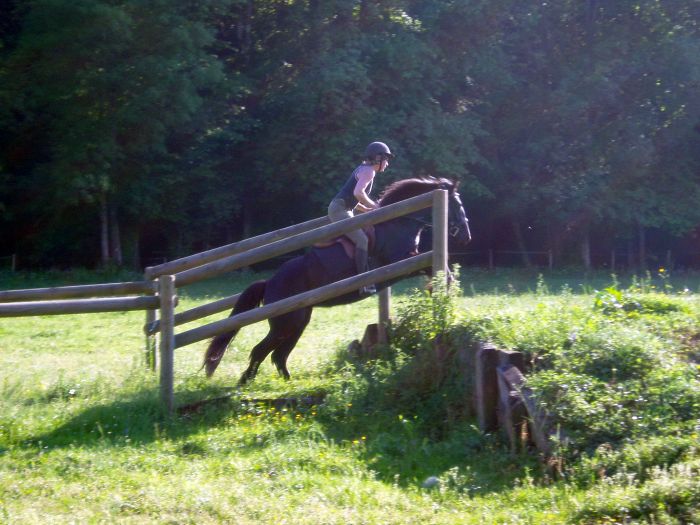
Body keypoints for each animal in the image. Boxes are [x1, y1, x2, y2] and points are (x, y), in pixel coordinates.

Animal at [205, 176, 474, 384]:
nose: (467, 236)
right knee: (261, 351)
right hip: (286, 323)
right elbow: (432, 266)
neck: (398, 221)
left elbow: (433, 268)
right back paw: (244, 383)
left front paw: (440, 288)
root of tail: (270, 282)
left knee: (278, 355)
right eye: (458, 204)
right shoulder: (401, 263)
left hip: (298, 322)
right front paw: (445, 287)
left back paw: (286, 382)